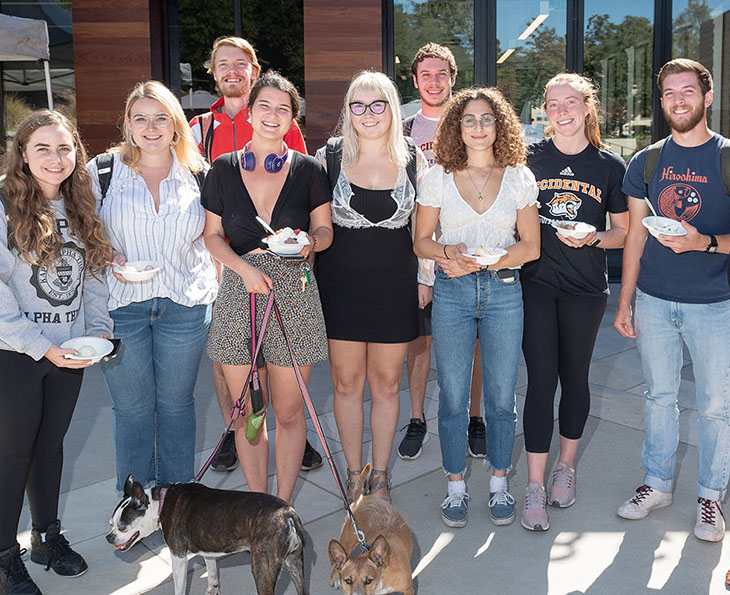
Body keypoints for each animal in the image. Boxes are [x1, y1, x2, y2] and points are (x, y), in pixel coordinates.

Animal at [105, 478, 304, 595]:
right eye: (110, 524)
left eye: (122, 528)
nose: (109, 537)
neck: (159, 503)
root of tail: (288, 514)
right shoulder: (208, 550)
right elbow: (212, 571)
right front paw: (212, 590)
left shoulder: (178, 557)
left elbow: (179, 587)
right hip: (295, 563)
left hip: (263, 568)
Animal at [328, 466, 412, 595]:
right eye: (348, 581)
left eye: (368, 580)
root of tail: (361, 498)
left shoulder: (408, 589)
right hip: (347, 541)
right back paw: (334, 577)